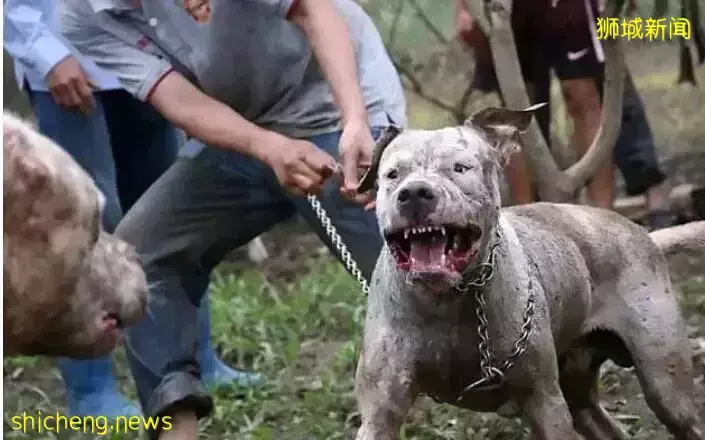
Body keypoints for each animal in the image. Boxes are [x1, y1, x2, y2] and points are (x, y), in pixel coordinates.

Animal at [354, 105, 704, 440]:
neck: (447, 300)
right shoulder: (379, 416)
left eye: (460, 168)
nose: (414, 193)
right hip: (580, 394)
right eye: (392, 174)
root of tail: (643, 233)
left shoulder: (545, 404)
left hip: (665, 385)